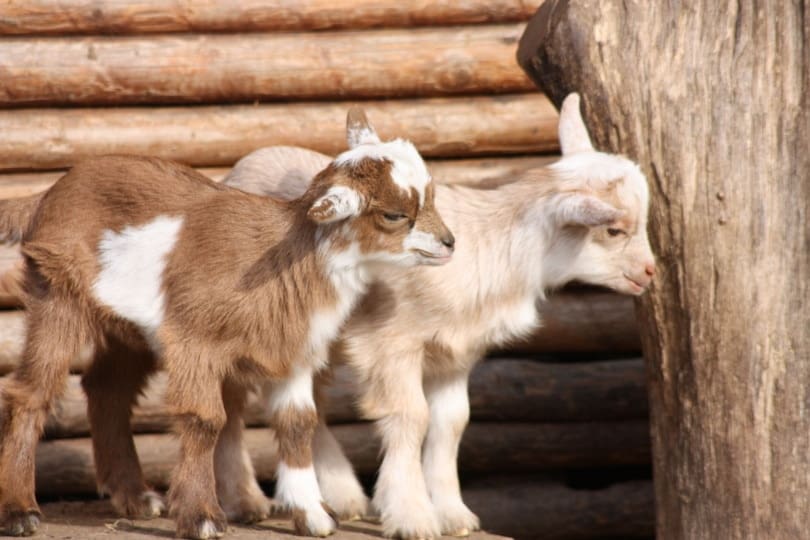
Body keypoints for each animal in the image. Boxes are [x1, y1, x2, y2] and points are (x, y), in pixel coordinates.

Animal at [0, 108, 454, 539]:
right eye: (394, 214)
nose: (449, 243)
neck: (291, 258)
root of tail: (48, 194)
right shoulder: (195, 340)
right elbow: (205, 420)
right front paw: (201, 517)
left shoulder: (293, 351)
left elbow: (298, 424)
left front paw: (314, 516)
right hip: (57, 293)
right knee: (31, 393)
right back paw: (20, 511)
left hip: (128, 328)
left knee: (107, 390)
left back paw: (137, 498)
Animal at [213, 93, 657, 539]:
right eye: (614, 230)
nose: (650, 272)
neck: (496, 249)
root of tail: (247, 162)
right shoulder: (393, 344)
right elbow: (413, 417)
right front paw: (412, 516)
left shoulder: (456, 354)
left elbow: (451, 423)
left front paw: (453, 514)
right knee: (233, 407)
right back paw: (246, 501)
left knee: (310, 406)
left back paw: (343, 497)